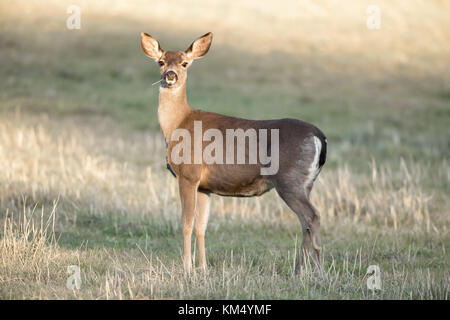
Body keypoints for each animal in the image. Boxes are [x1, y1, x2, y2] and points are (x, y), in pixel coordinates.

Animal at [141, 31, 326, 272]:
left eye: (184, 63)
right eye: (161, 62)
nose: (170, 75)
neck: (177, 124)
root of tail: (319, 136)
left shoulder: (188, 175)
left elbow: (186, 223)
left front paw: (187, 268)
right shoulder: (205, 186)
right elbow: (201, 226)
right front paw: (203, 268)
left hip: (289, 180)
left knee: (313, 217)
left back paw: (319, 271)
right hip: (305, 184)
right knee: (305, 222)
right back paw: (298, 271)